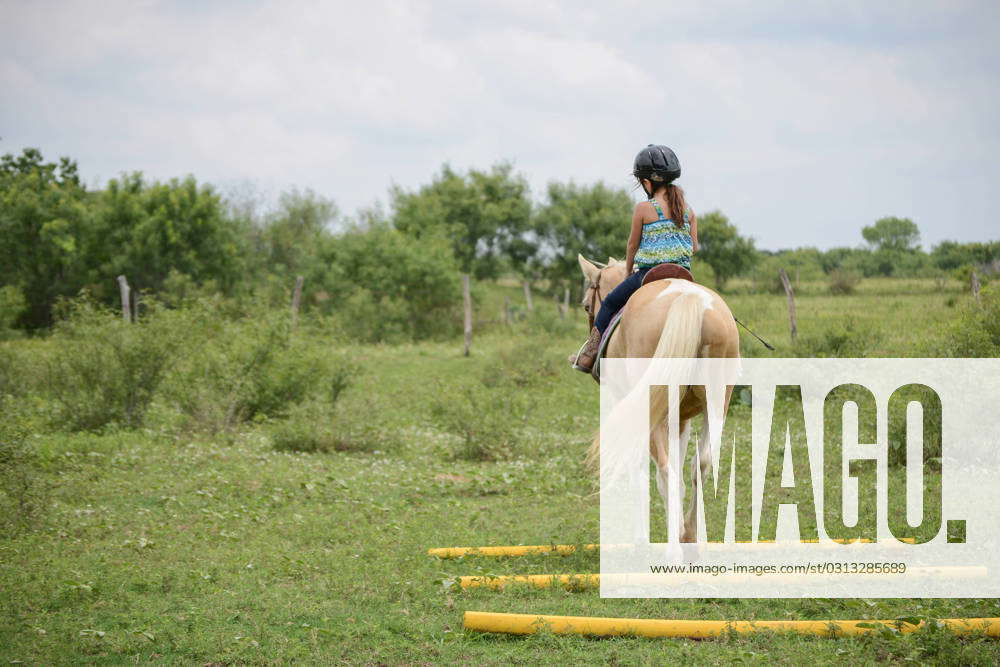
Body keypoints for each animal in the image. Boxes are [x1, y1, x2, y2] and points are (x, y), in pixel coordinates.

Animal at [580, 256, 744, 544]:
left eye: (588, 305)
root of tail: (689, 301)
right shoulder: (681, 418)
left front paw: (641, 538)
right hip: (716, 402)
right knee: (700, 464)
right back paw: (689, 534)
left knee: (667, 470)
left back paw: (676, 539)